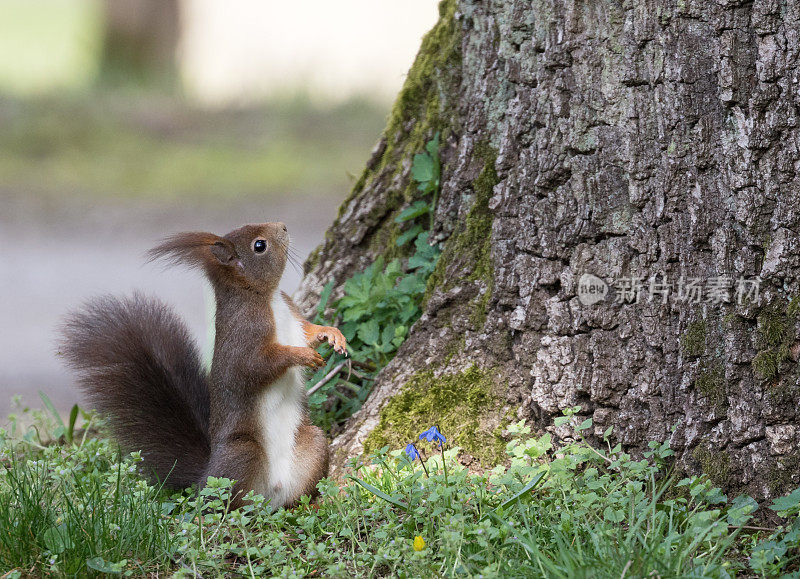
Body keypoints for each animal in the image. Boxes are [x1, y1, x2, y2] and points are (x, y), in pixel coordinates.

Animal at [61, 224, 346, 510]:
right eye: (259, 245)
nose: (284, 226)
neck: (266, 298)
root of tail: (206, 475)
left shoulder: (293, 315)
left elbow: (309, 331)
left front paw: (332, 334)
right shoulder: (244, 336)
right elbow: (256, 366)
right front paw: (302, 355)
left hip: (313, 443)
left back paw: (312, 504)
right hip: (242, 453)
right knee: (219, 504)